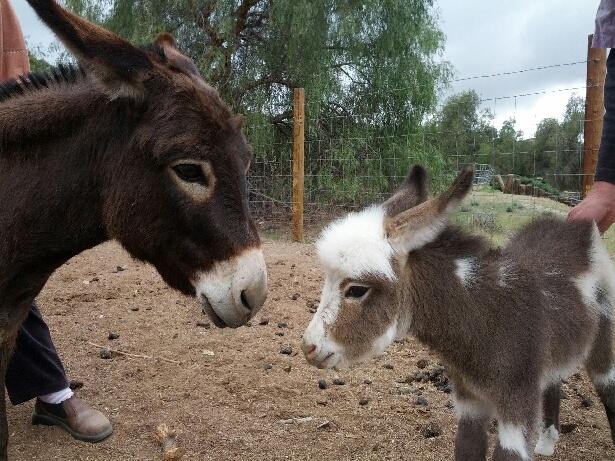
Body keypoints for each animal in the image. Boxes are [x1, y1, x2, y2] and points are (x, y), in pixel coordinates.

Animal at [302, 166, 615, 460]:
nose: (308, 348)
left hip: (603, 340)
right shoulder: (469, 403)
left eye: (357, 290)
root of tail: (577, 228)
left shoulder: (517, 405)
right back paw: (547, 443)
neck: (485, 317)